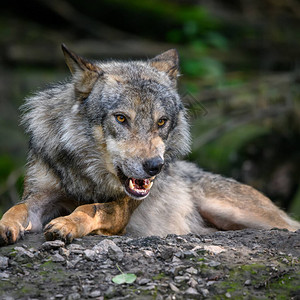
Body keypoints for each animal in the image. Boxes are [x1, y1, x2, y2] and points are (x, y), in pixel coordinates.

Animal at [0, 44, 300, 245]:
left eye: (161, 121)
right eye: (121, 118)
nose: (155, 166)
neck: (87, 175)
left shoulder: (121, 208)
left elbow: (89, 208)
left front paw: (67, 223)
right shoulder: (40, 195)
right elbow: (18, 208)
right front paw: (5, 224)